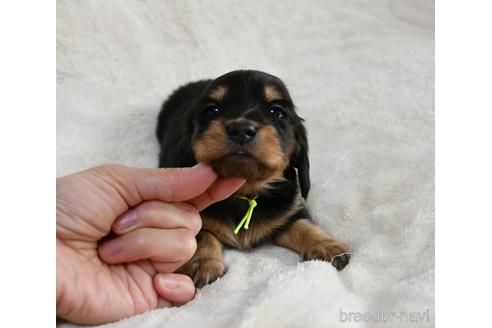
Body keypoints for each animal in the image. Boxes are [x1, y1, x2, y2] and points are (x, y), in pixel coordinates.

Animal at [157, 70, 350, 288]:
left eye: (277, 112)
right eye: (212, 109)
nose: (241, 129)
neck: (245, 191)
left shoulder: (287, 212)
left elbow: (303, 225)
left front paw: (329, 245)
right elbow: (201, 234)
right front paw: (203, 263)